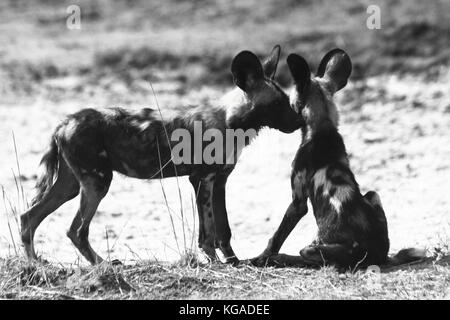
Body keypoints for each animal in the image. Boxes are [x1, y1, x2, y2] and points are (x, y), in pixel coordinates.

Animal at [21, 45, 302, 264]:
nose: (299, 120)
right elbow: (208, 233)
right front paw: (215, 263)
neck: (230, 120)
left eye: (286, 100)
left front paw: (234, 261)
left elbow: (224, 230)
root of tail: (66, 121)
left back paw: (36, 263)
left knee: (29, 218)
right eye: (278, 104)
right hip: (97, 184)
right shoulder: (203, 180)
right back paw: (103, 265)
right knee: (76, 230)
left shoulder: (219, 180)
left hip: (71, 186)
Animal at [253, 49, 426, 270]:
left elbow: (276, 237)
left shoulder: (297, 203)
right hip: (372, 195)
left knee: (310, 258)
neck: (323, 127)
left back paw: (280, 258)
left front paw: (261, 258)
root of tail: (377, 256)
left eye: (289, 101)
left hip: (310, 249)